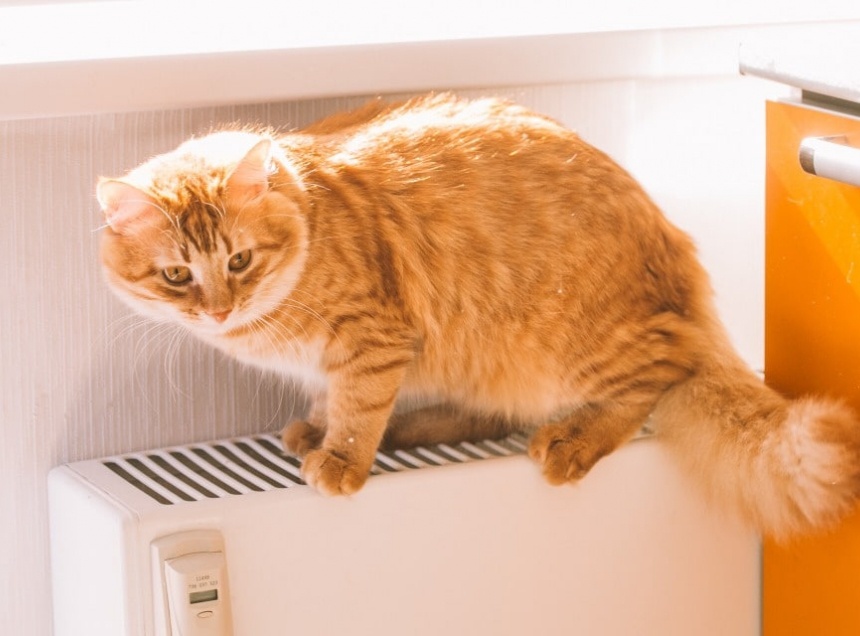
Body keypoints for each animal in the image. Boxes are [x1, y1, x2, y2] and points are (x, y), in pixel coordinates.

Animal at [97, 93, 860, 538]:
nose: (219, 311)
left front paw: (340, 458)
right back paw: (416, 427)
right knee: (493, 413)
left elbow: (357, 407)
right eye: (177, 276)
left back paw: (572, 440)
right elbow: (334, 399)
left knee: (654, 376)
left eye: (239, 261)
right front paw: (319, 428)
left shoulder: (374, 339)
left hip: (577, 345)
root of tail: (675, 253)